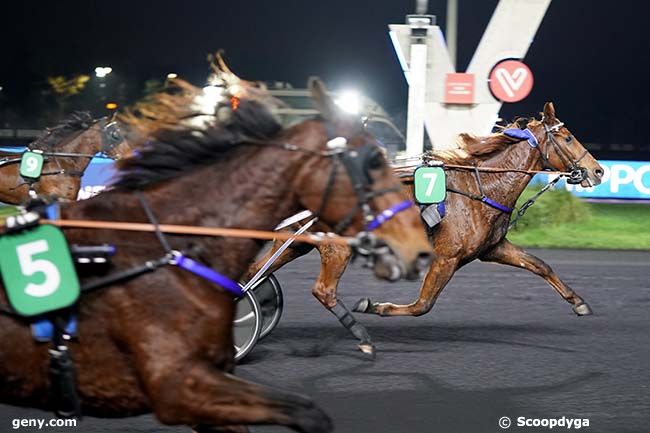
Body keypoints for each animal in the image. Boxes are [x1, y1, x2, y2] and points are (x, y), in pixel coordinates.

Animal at [244, 102, 604, 354]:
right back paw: (361, 337)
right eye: (568, 137)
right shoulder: (446, 257)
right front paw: (376, 306)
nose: (598, 171)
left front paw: (578, 302)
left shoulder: (493, 248)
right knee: (323, 291)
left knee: (254, 271)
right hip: (337, 247)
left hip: (299, 240)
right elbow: (422, 305)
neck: (481, 187)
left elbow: (540, 265)